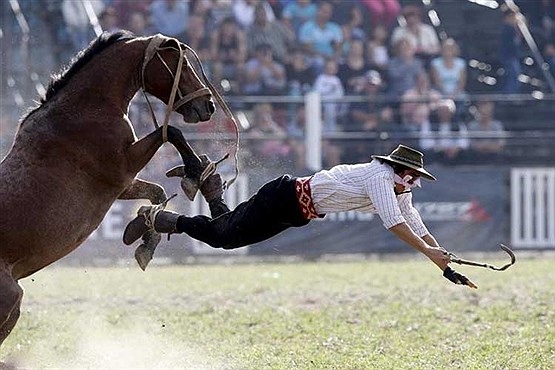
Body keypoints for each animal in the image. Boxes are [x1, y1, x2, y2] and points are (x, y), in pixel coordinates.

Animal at [0, 31, 215, 346]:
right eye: (181, 64)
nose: (208, 105)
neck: (85, 108)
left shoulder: (121, 186)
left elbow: (158, 193)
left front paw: (144, 239)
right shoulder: (123, 167)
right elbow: (171, 133)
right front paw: (195, 172)